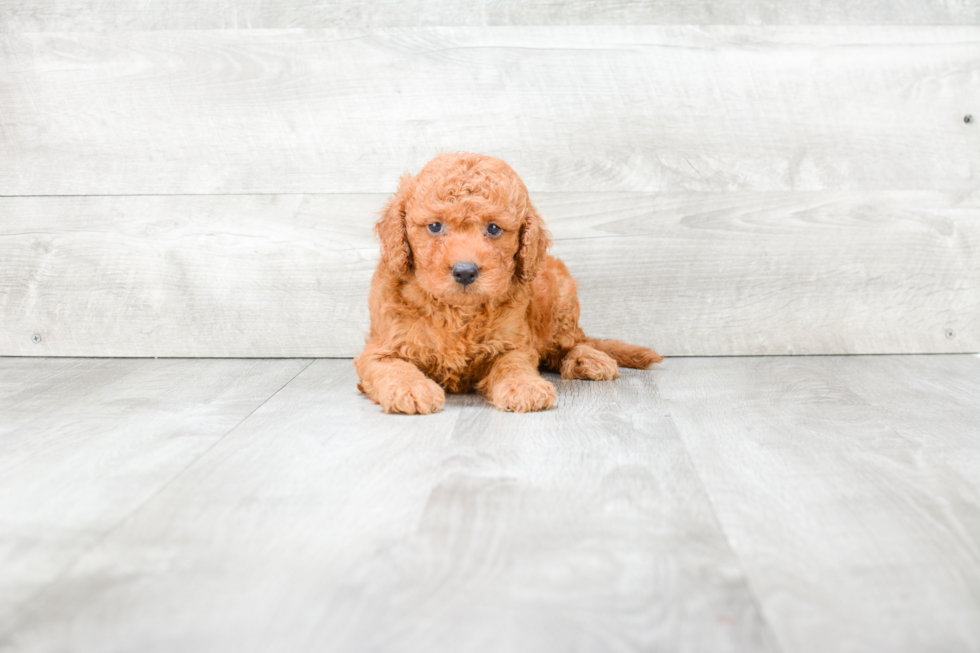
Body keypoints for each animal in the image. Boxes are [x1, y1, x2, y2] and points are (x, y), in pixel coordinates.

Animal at [356, 152, 664, 412]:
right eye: (434, 226)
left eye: (493, 228)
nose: (465, 271)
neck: (457, 312)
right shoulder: (380, 349)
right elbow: (394, 367)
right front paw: (411, 389)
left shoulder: (513, 343)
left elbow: (512, 364)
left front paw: (524, 386)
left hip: (561, 297)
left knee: (570, 343)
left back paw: (587, 359)